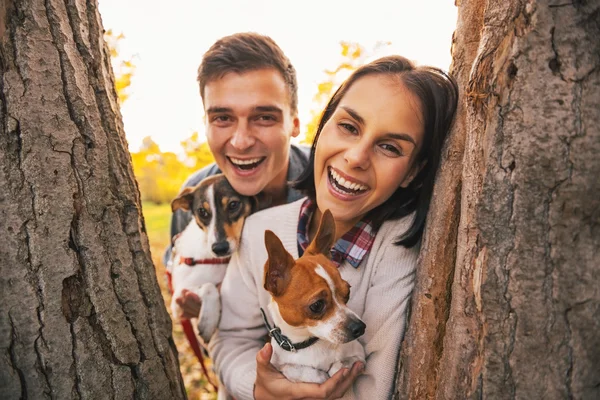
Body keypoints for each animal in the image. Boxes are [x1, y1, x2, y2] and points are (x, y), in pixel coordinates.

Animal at [168, 173, 256, 342]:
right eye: (202, 211)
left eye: (233, 204)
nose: (219, 248)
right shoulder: (178, 301)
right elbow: (209, 287)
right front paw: (208, 323)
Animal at [262, 208, 366, 382]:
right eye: (317, 305)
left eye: (348, 293)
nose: (360, 327)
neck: (309, 343)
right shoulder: (278, 364)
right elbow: (297, 370)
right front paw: (319, 375)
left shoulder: (360, 356)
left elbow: (340, 365)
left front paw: (336, 368)